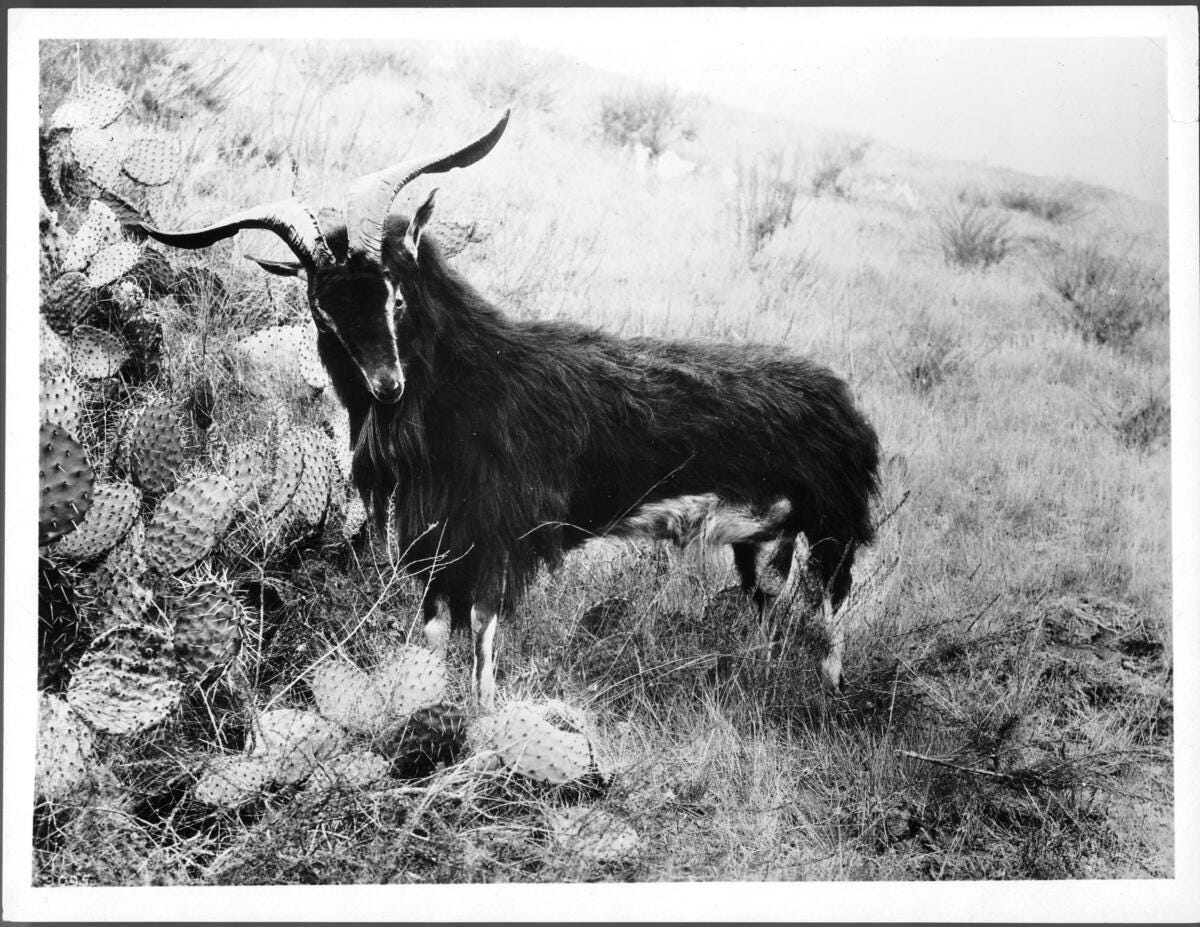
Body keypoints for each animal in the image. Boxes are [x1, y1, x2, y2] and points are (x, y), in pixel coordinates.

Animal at [138, 112, 883, 706]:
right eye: (324, 312)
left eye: (395, 293)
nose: (386, 386)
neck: (475, 382)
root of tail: (843, 401)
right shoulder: (438, 537)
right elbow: (432, 633)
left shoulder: (497, 534)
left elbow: (482, 641)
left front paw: (482, 723)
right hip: (766, 536)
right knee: (773, 601)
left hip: (834, 522)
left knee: (832, 607)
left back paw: (829, 694)